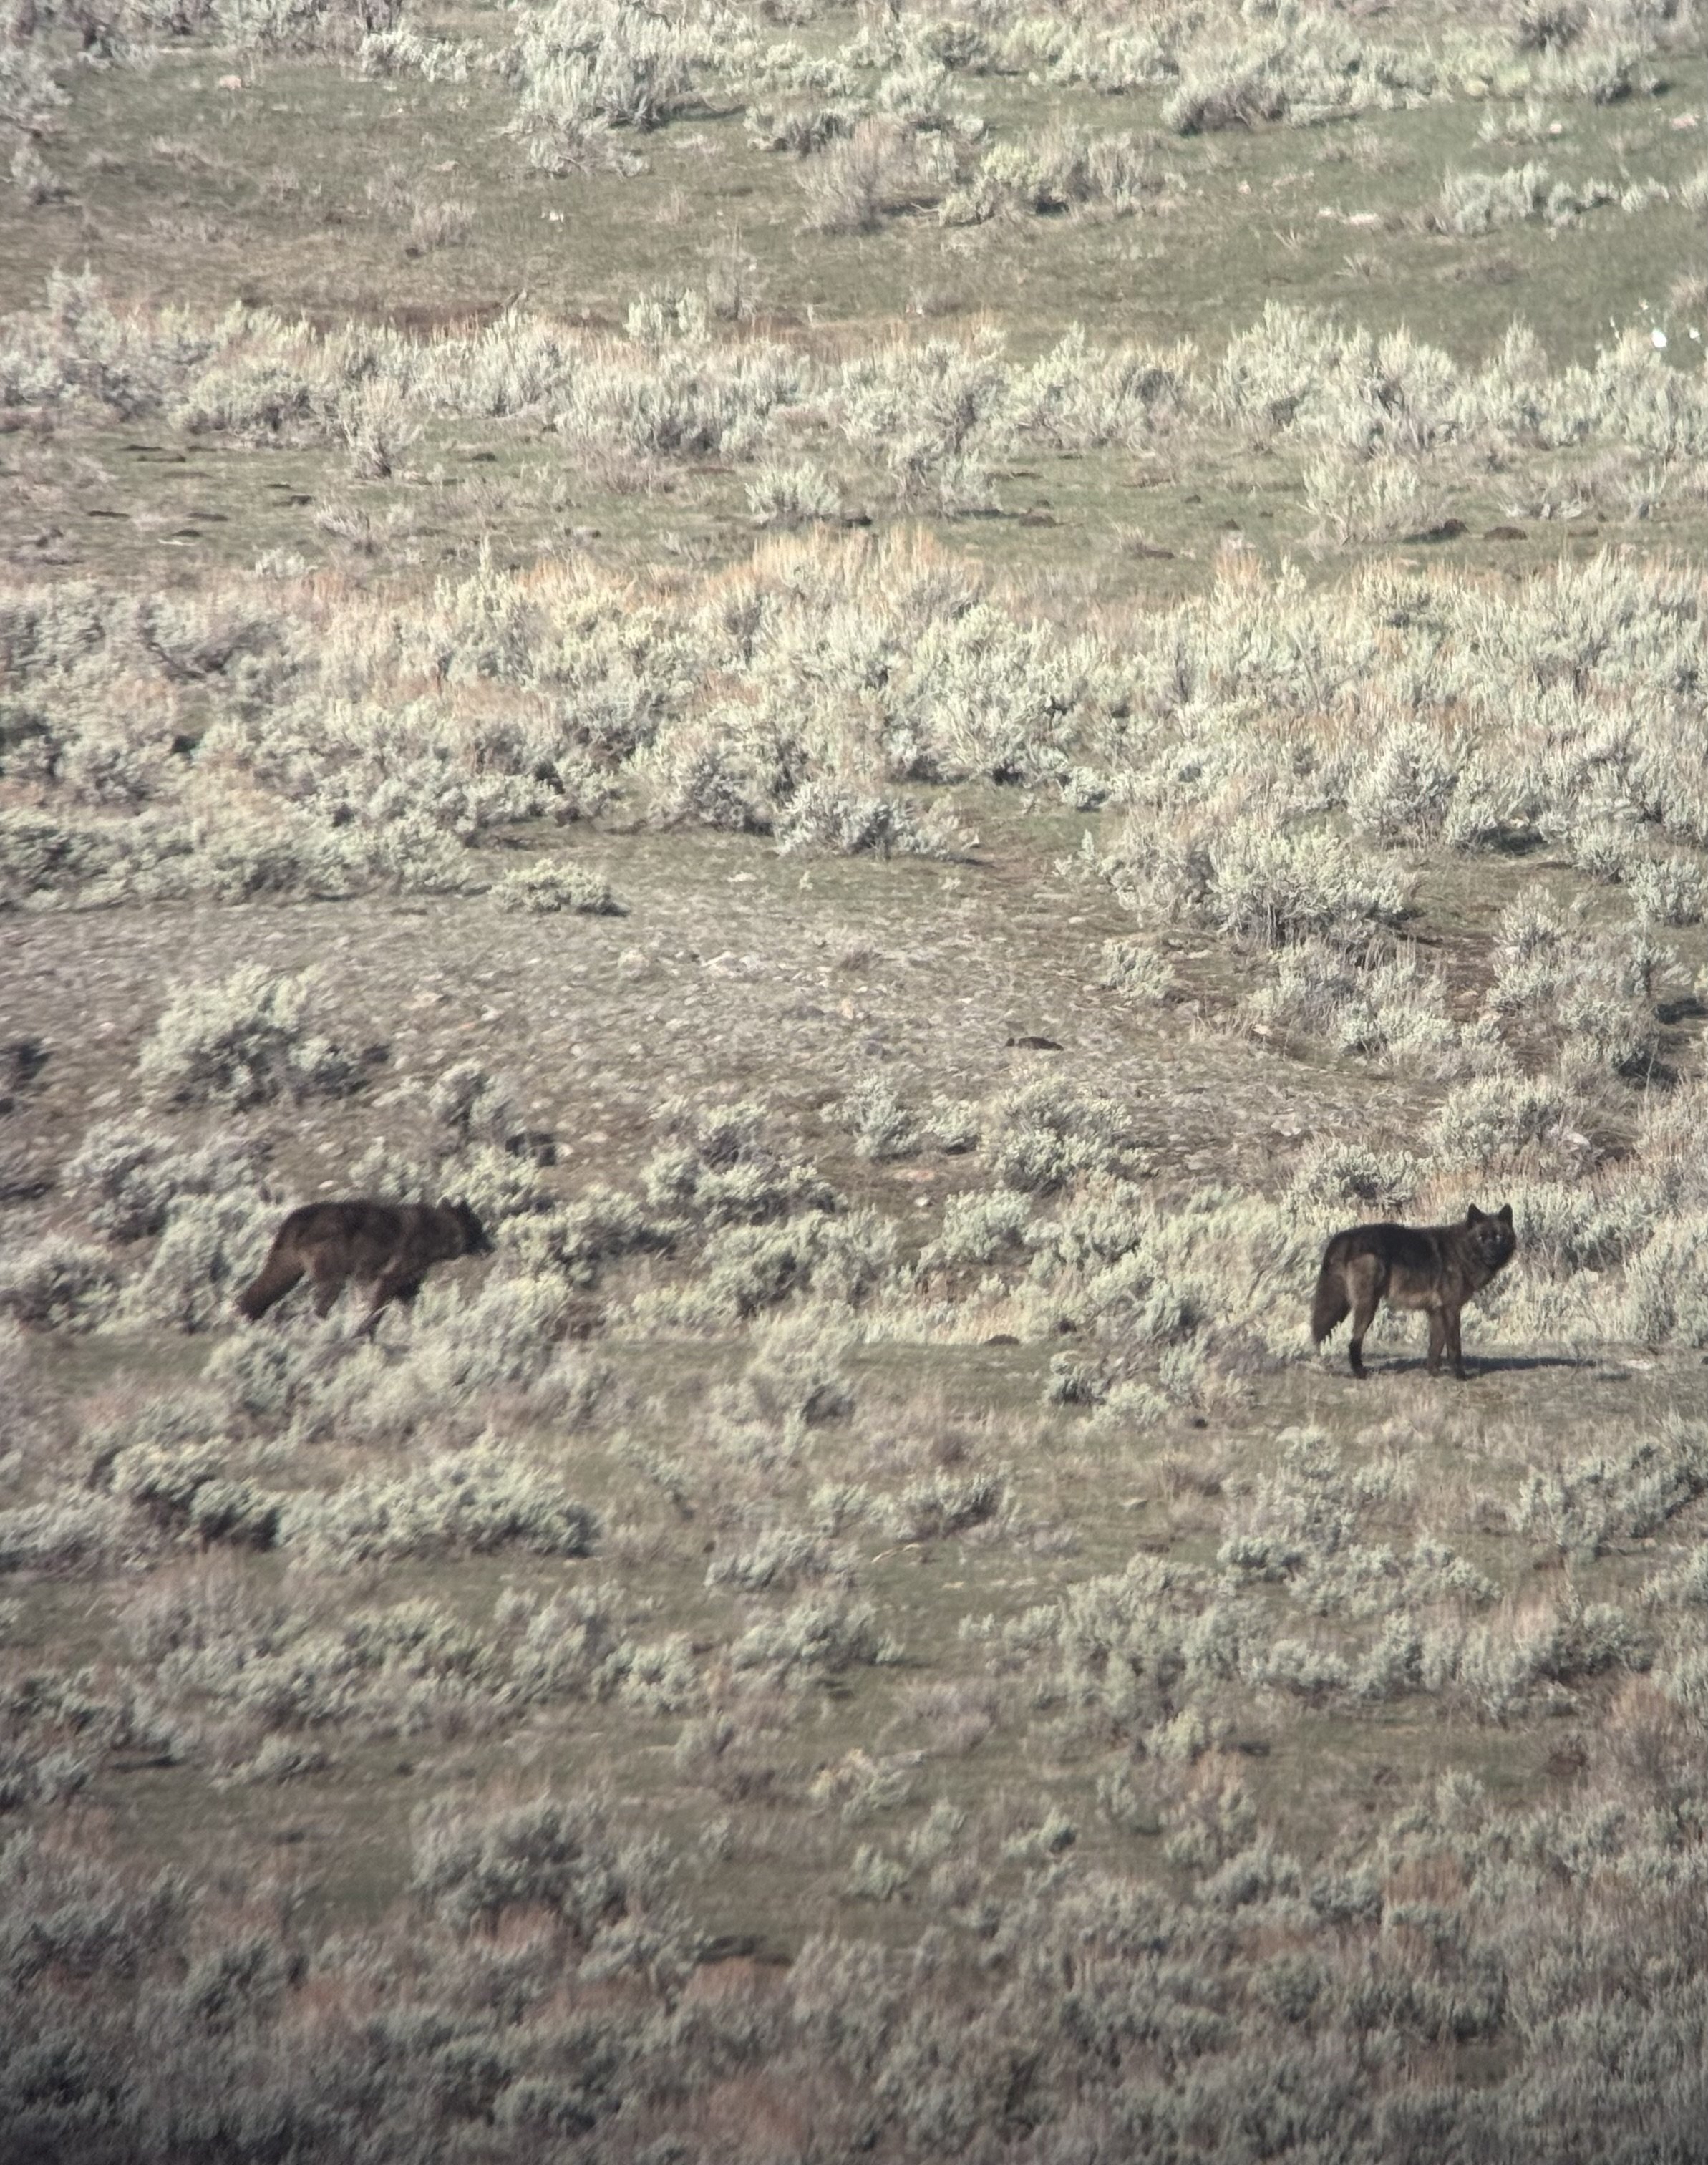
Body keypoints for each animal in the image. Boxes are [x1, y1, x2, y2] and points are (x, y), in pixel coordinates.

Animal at [235, 1199, 493, 1332]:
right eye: (479, 1230)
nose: (492, 1247)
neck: (435, 1233)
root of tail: (296, 1219)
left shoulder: (409, 1279)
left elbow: (408, 1299)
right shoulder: (396, 1267)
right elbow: (381, 1297)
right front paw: (365, 1330)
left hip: (288, 1260)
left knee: (268, 1284)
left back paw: (245, 1315)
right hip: (330, 1260)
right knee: (324, 1297)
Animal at [1310, 1204, 1515, 1380]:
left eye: (1499, 1237)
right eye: (1481, 1238)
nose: (1491, 1255)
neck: (1462, 1251)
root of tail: (1344, 1237)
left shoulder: (1436, 1311)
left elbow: (1435, 1346)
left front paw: (1433, 1373)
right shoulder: (1451, 1309)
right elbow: (1455, 1346)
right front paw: (1460, 1376)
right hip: (1367, 1308)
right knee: (1353, 1341)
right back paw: (1360, 1373)